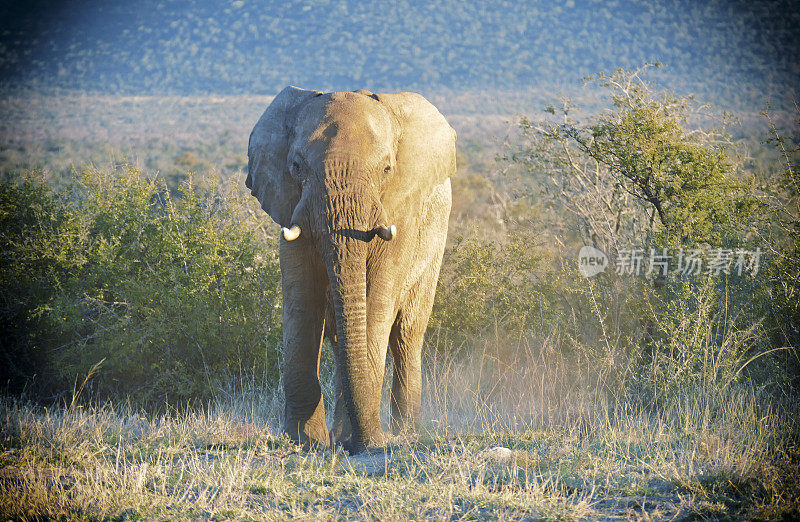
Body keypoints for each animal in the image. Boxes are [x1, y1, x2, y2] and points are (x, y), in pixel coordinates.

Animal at [244, 85, 456, 450]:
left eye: (387, 169)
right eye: (296, 166)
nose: (369, 443)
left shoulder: (402, 212)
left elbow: (376, 304)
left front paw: (356, 440)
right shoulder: (290, 209)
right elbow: (302, 301)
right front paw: (303, 441)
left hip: (434, 241)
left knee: (407, 333)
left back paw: (405, 432)